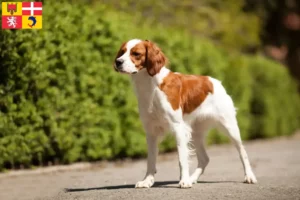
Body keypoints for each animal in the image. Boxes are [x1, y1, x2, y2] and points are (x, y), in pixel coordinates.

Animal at [113, 38, 256, 188]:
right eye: (122, 52)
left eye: (136, 53)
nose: (118, 62)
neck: (151, 85)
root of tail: (215, 81)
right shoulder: (151, 131)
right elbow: (150, 160)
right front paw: (147, 181)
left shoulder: (178, 128)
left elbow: (182, 158)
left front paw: (184, 181)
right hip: (197, 132)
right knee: (205, 159)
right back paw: (193, 178)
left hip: (230, 127)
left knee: (242, 152)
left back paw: (249, 176)